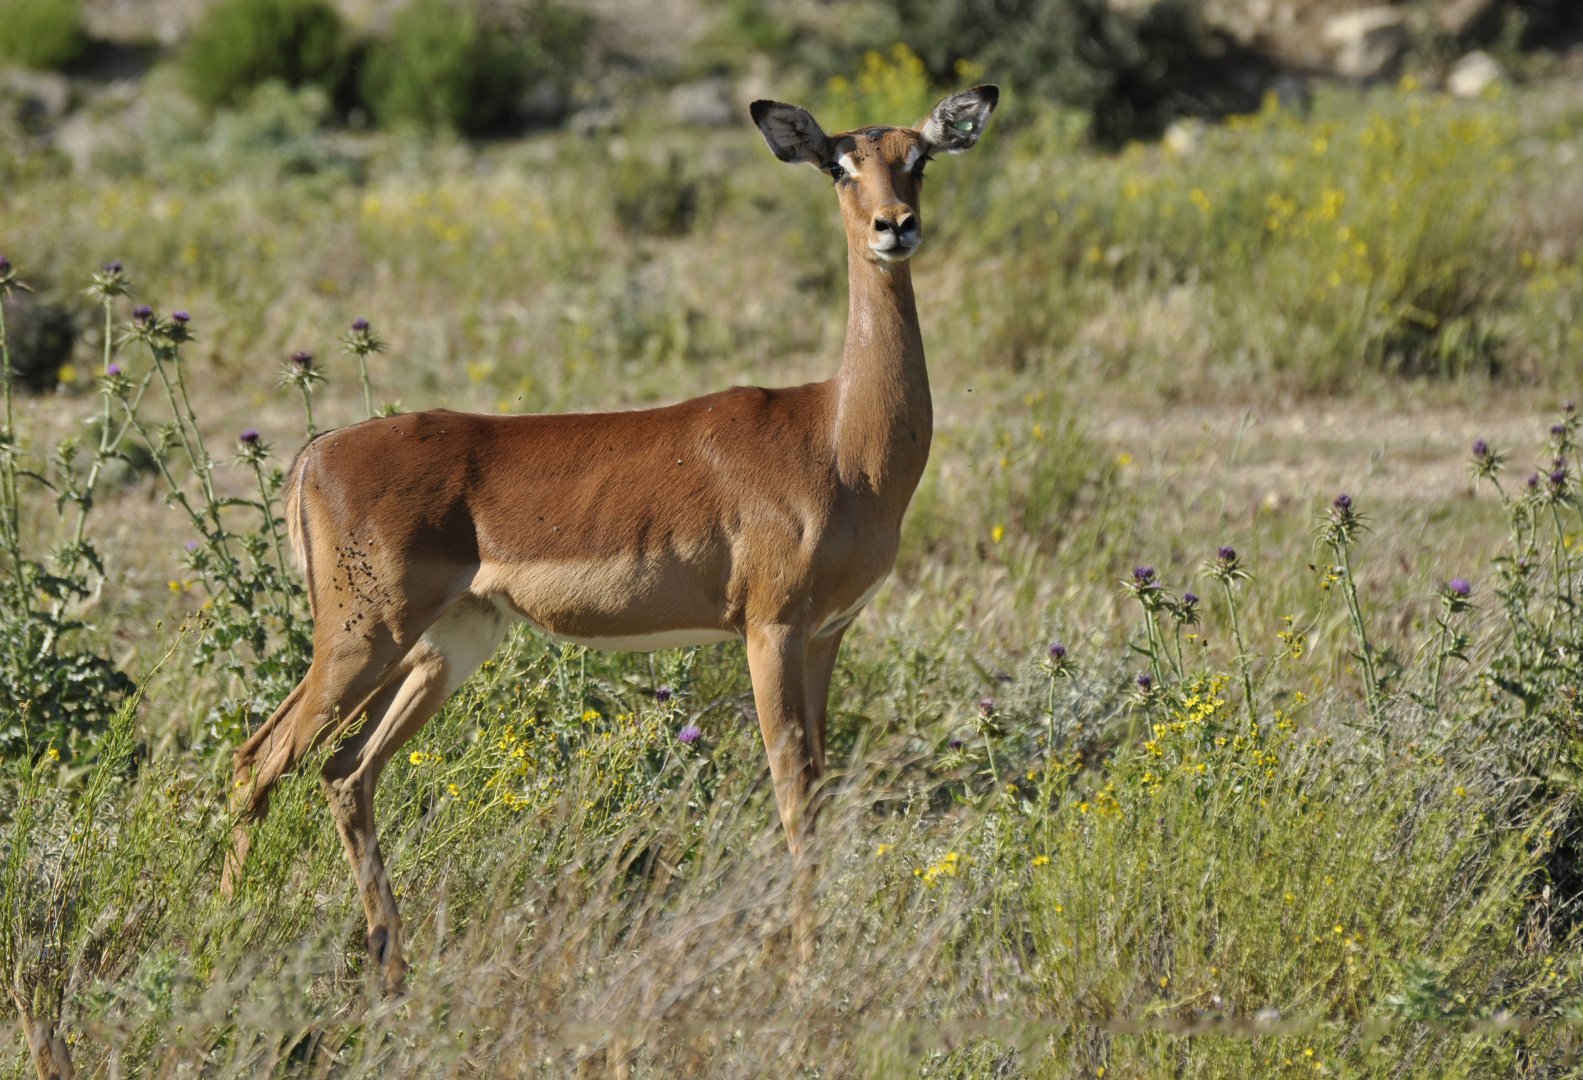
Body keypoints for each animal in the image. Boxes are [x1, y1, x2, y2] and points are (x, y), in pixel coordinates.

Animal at [223, 85, 999, 994]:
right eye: (838, 164)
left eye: (918, 158)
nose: (894, 225)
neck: (839, 439)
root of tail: (313, 456)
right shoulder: (769, 629)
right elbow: (791, 792)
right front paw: (805, 965)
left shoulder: (825, 634)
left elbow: (818, 785)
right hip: (361, 638)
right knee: (259, 759)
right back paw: (224, 934)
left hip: (444, 646)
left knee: (344, 773)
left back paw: (391, 969)